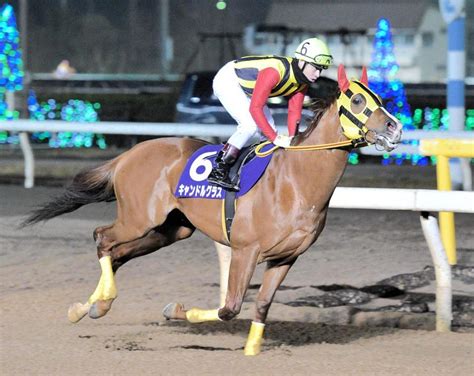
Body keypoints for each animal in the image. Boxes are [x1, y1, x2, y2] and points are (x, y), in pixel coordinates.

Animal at [22, 64, 400, 356]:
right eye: (358, 100)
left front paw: (252, 350)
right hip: (138, 219)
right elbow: (229, 308)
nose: (394, 127)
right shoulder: (246, 250)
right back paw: (98, 302)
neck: (295, 181)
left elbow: (261, 305)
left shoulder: (286, 258)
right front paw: (174, 310)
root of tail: (130, 153)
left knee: (117, 254)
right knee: (102, 238)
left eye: (380, 99)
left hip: (172, 229)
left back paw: (88, 307)